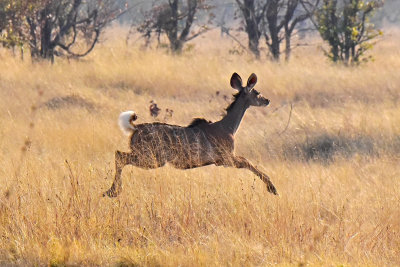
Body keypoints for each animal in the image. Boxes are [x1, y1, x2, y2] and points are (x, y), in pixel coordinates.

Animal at [104, 72, 278, 198]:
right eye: (257, 92)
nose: (267, 100)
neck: (227, 127)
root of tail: (135, 128)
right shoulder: (225, 158)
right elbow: (248, 162)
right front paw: (273, 188)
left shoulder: (225, 159)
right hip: (152, 158)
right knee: (120, 156)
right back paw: (113, 192)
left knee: (119, 154)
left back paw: (110, 191)